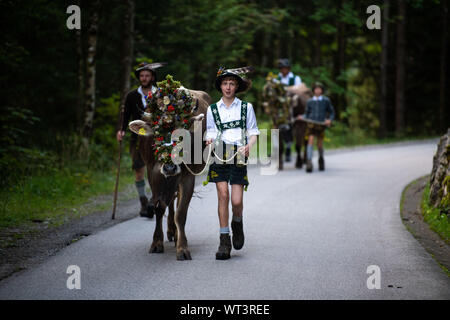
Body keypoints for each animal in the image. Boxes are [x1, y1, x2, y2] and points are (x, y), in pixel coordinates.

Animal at [127, 89, 210, 260]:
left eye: (182, 134)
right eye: (157, 133)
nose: (170, 168)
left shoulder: (187, 176)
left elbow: (181, 212)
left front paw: (182, 248)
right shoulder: (152, 173)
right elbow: (159, 207)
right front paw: (156, 243)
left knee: (175, 202)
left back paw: (176, 233)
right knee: (170, 202)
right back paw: (171, 231)